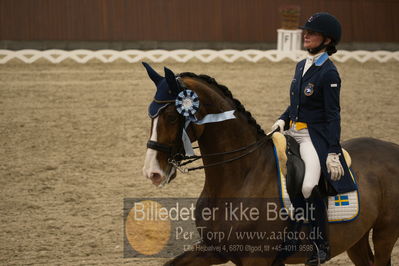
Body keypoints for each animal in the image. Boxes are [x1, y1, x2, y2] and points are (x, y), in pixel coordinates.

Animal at [142, 69, 398, 264]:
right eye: (150, 115)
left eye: (172, 118)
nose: (152, 172)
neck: (241, 177)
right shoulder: (214, 249)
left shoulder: (256, 258)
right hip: (357, 238)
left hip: (385, 232)